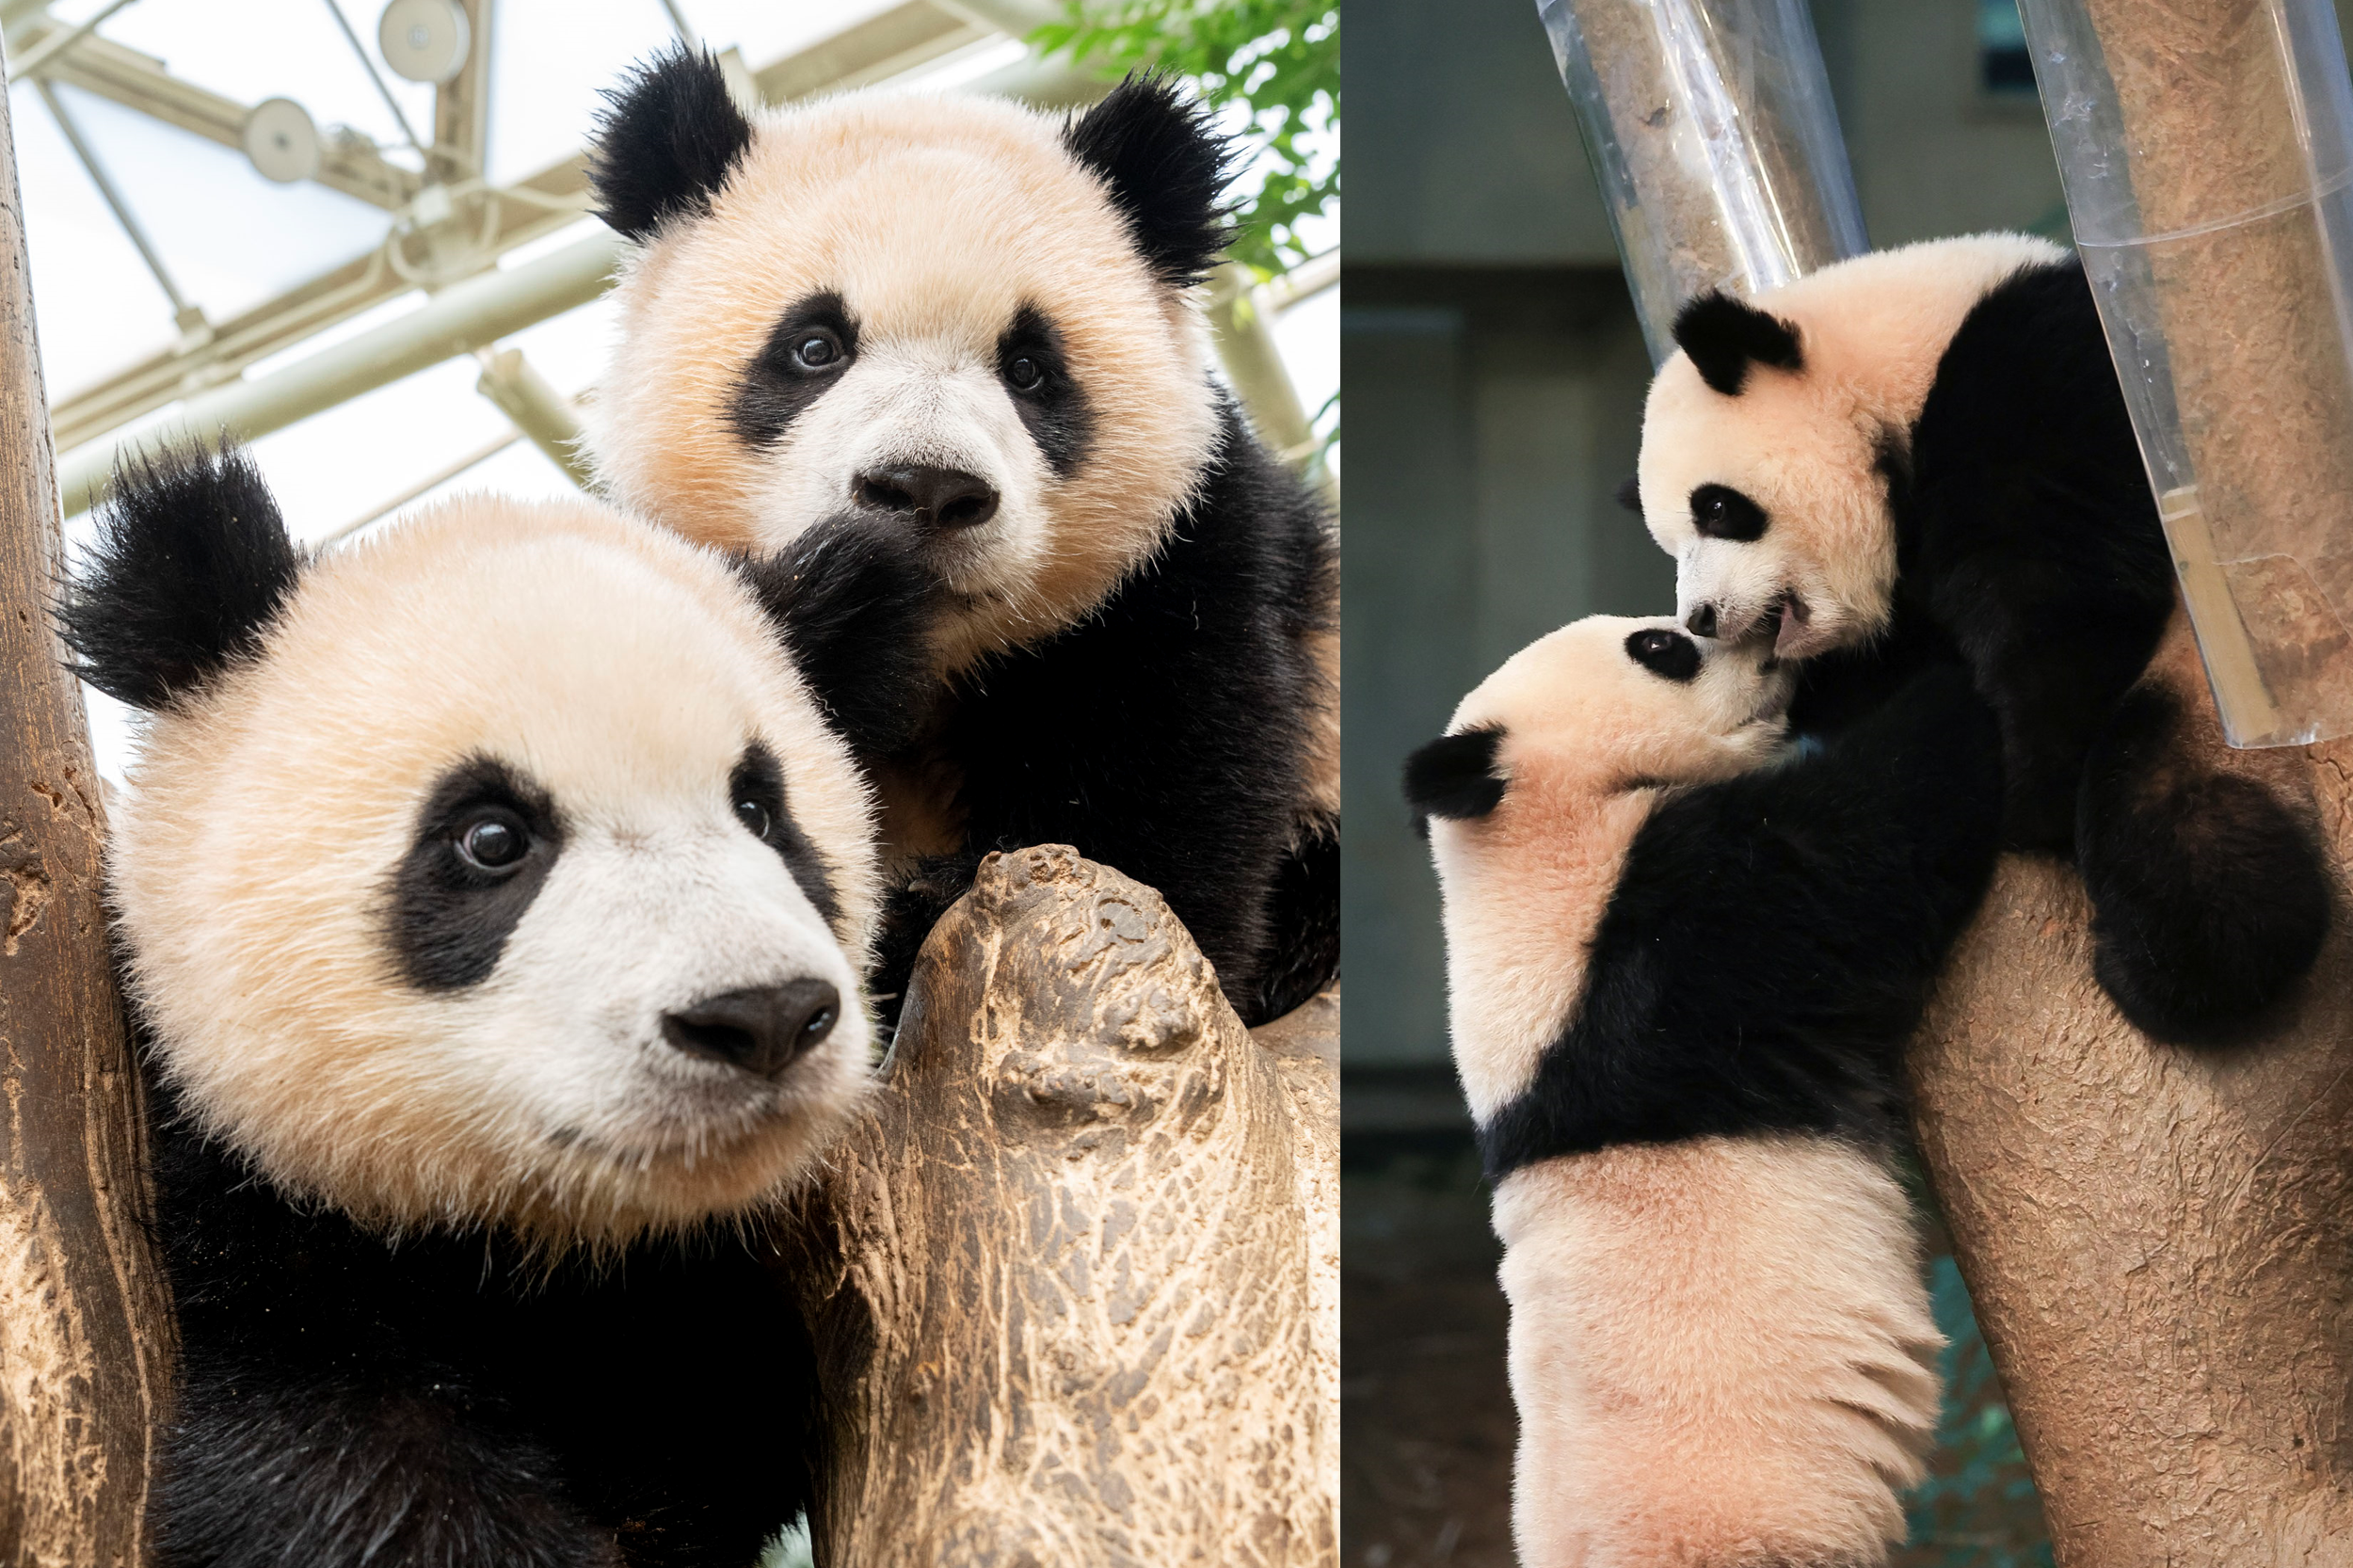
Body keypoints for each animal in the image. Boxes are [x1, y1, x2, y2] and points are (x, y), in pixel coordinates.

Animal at [55, 442, 918, 1562]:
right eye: (492, 838)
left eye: (762, 811)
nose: (762, 1016)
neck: (537, 1255)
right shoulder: (249, 1233)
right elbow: (347, 1472)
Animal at [576, 48, 1337, 1026]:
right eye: (815, 347)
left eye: (1030, 369)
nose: (926, 488)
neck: (928, 658)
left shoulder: (1188, 561)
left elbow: (1162, 802)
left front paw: (916, 918)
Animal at [1638, 232, 2334, 1035]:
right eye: (1669, 544)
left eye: (1719, 508)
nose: (1700, 616)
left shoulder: (2031, 379)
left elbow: (2051, 578)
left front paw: (2031, 790)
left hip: (2204, 677)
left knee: (2182, 822)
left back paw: (2169, 967)